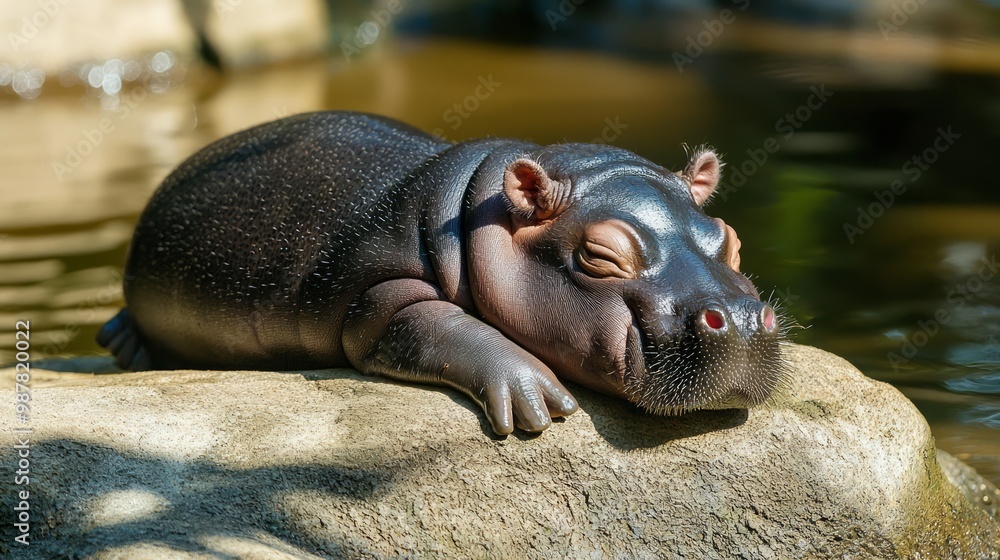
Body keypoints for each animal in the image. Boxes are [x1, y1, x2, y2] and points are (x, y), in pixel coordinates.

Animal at [97, 111, 785, 435]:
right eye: (599, 256)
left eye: (730, 241)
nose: (742, 319)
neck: (477, 209)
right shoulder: (376, 298)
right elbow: (443, 325)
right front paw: (536, 393)